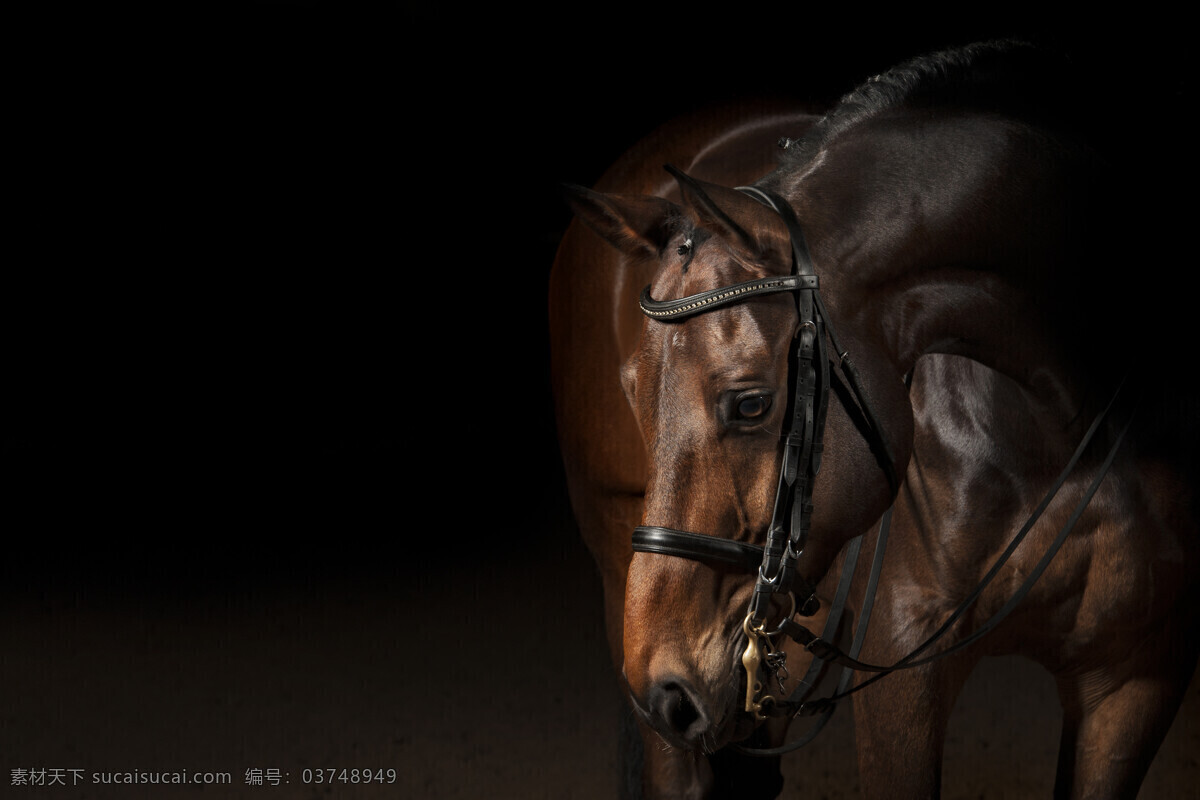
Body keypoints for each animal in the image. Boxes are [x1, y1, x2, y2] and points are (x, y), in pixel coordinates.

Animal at [549, 40, 1195, 796]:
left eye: (750, 402)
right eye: (637, 393)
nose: (665, 686)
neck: (1059, 424)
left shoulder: (1135, 680)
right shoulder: (901, 673)